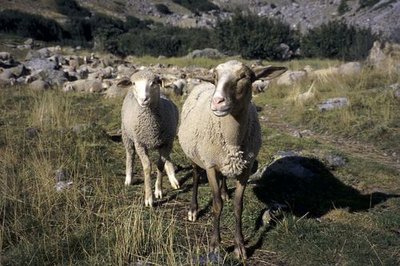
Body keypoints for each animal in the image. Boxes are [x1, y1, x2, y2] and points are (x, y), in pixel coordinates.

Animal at [120, 69, 180, 207]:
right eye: (134, 83)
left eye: (154, 82)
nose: (144, 99)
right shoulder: (140, 144)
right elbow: (147, 167)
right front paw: (149, 198)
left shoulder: (166, 141)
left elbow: (160, 165)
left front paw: (158, 190)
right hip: (126, 135)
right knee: (130, 154)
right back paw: (128, 178)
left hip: (167, 140)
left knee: (167, 157)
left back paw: (172, 178)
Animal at [177, 59, 284, 258]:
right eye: (215, 77)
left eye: (245, 76)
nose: (217, 101)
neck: (232, 140)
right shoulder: (210, 165)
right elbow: (216, 205)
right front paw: (214, 245)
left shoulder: (246, 168)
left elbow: (238, 206)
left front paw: (240, 246)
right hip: (194, 154)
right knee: (195, 176)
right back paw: (193, 209)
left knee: (224, 177)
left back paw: (225, 191)